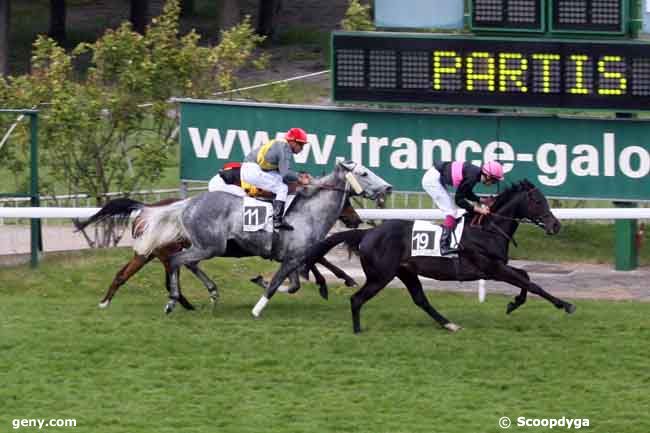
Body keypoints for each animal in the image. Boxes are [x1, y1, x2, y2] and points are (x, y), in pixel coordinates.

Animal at [130, 160, 390, 312]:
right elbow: (279, 283)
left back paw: (211, 292)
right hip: (210, 247)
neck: (306, 212)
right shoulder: (294, 257)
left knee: (188, 263)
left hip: (205, 246)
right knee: (177, 261)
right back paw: (173, 300)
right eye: (364, 173)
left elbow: (293, 285)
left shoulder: (292, 258)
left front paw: (259, 280)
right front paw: (258, 307)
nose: (387, 188)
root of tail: (188, 203)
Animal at [288, 177, 572, 332]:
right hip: (381, 276)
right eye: (537, 201)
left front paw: (514, 303)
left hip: (405, 272)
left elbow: (525, 276)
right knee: (357, 299)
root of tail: (367, 233)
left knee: (420, 299)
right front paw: (565, 304)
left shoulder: (497, 266)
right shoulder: (491, 268)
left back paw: (450, 324)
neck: (488, 229)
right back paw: (358, 331)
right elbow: (531, 283)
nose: (555, 225)